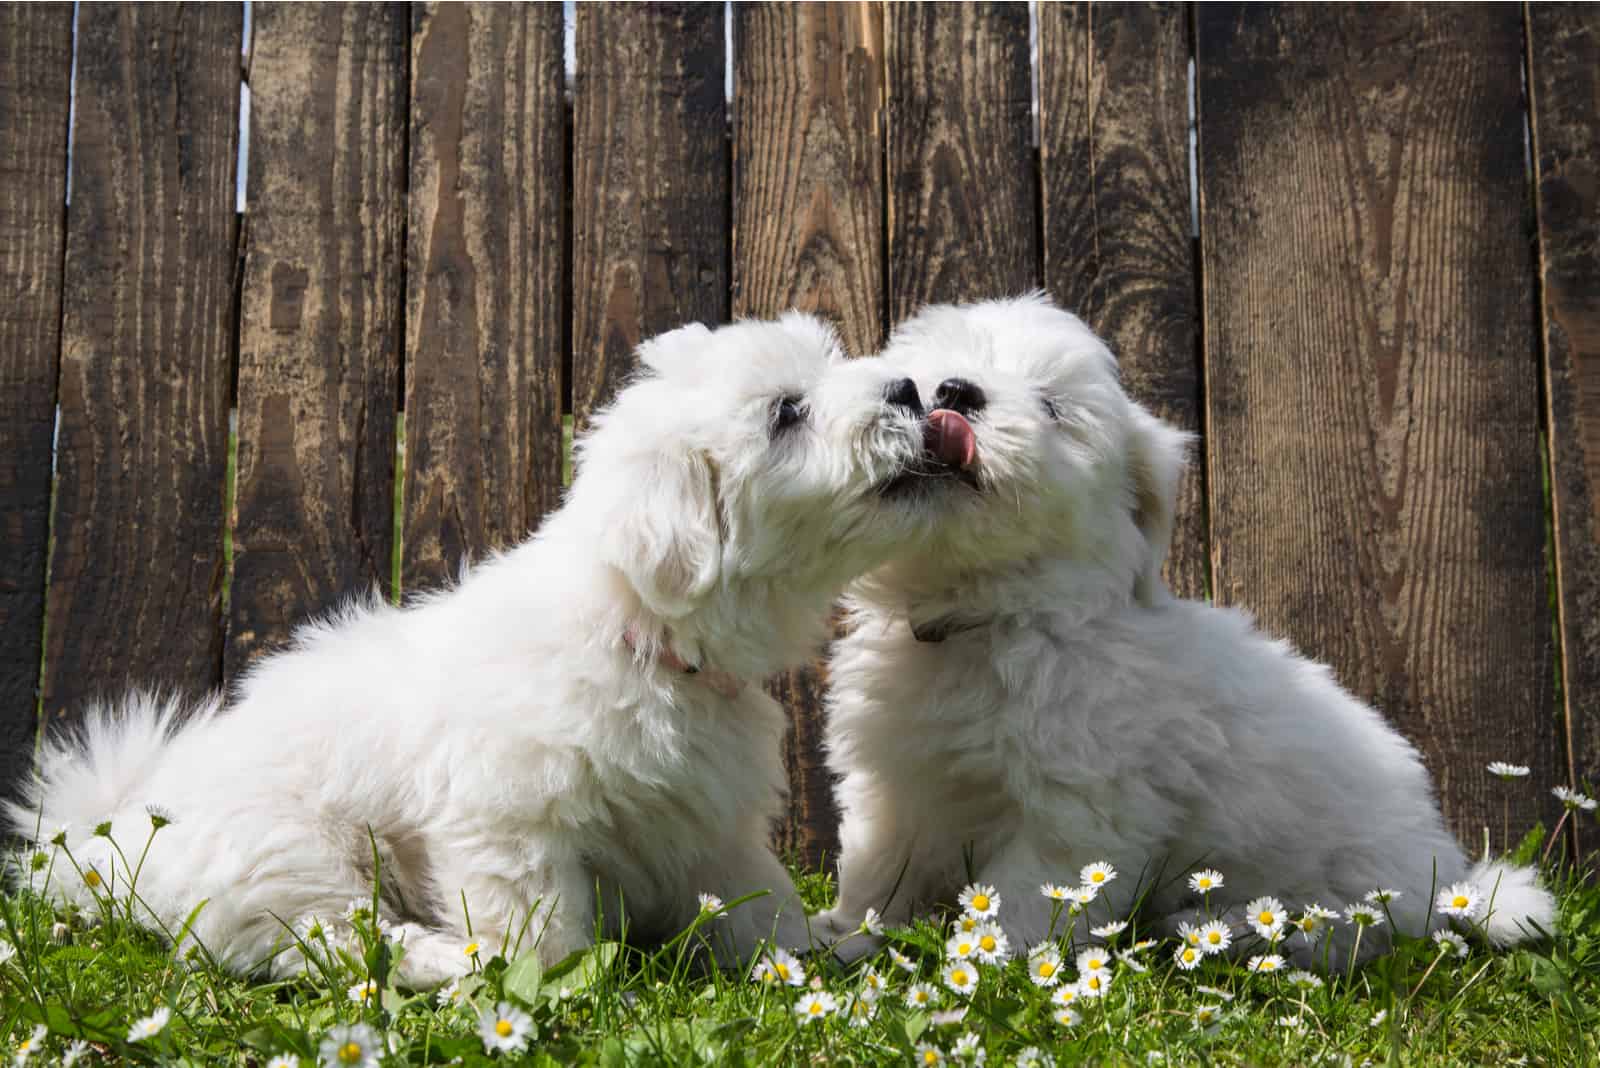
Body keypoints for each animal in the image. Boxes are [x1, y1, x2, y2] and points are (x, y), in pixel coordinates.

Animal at [9, 313, 934, 991]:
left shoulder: (709, 822)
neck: (640, 633)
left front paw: (817, 953)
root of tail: (118, 838)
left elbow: (758, 901)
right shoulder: (510, 822)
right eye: (787, 413)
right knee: (327, 939)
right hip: (288, 852)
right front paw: (562, 992)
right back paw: (441, 960)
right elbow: (543, 929)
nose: (910, 388)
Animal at [819, 294, 1555, 965]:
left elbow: (1029, 896)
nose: (953, 392)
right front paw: (846, 938)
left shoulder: (1078, 809)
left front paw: (990, 964)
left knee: (1334, 932)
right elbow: (879, 864)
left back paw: (1203, 926)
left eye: (1054, 408)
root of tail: (1450, 882)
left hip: (1351, 884)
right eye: (929, 377)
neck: (995, 616)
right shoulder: (895, 782)